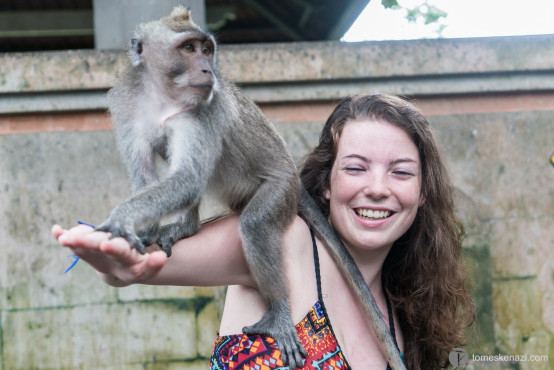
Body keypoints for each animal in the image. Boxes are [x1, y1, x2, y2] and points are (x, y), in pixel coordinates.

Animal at [97, 6, 404, 370]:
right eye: (189, 49)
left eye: (206, 50)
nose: (207, 69)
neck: (163, 97)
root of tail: (295, 177)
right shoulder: (129, 107)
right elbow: (151, 175)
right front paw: (141, 230)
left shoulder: (204, 110)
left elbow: (188, 179)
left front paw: (121, 218)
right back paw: (188, 227)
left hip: (281, 189)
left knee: (255, 223)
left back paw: (278, 314)